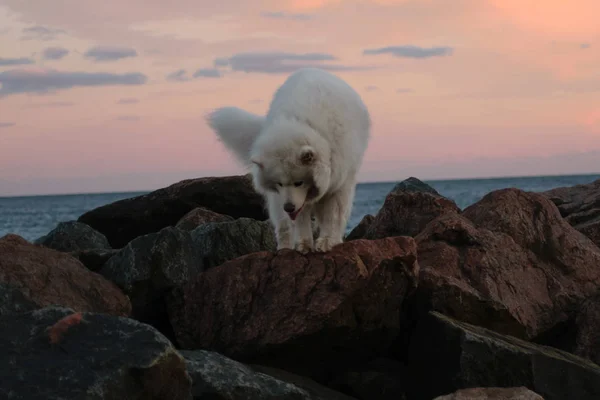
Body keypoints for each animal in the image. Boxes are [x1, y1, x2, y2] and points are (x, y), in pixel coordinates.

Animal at [206, 67, 370, 252]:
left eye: (299, 182)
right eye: (279, 183)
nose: (289, 207)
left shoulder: (340, 182)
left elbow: (333, 215)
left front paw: (328, 241)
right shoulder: (290, 197)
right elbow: (300, 218)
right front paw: (304, 244)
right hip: (277, 202)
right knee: (283, 226)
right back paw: (284, 247)